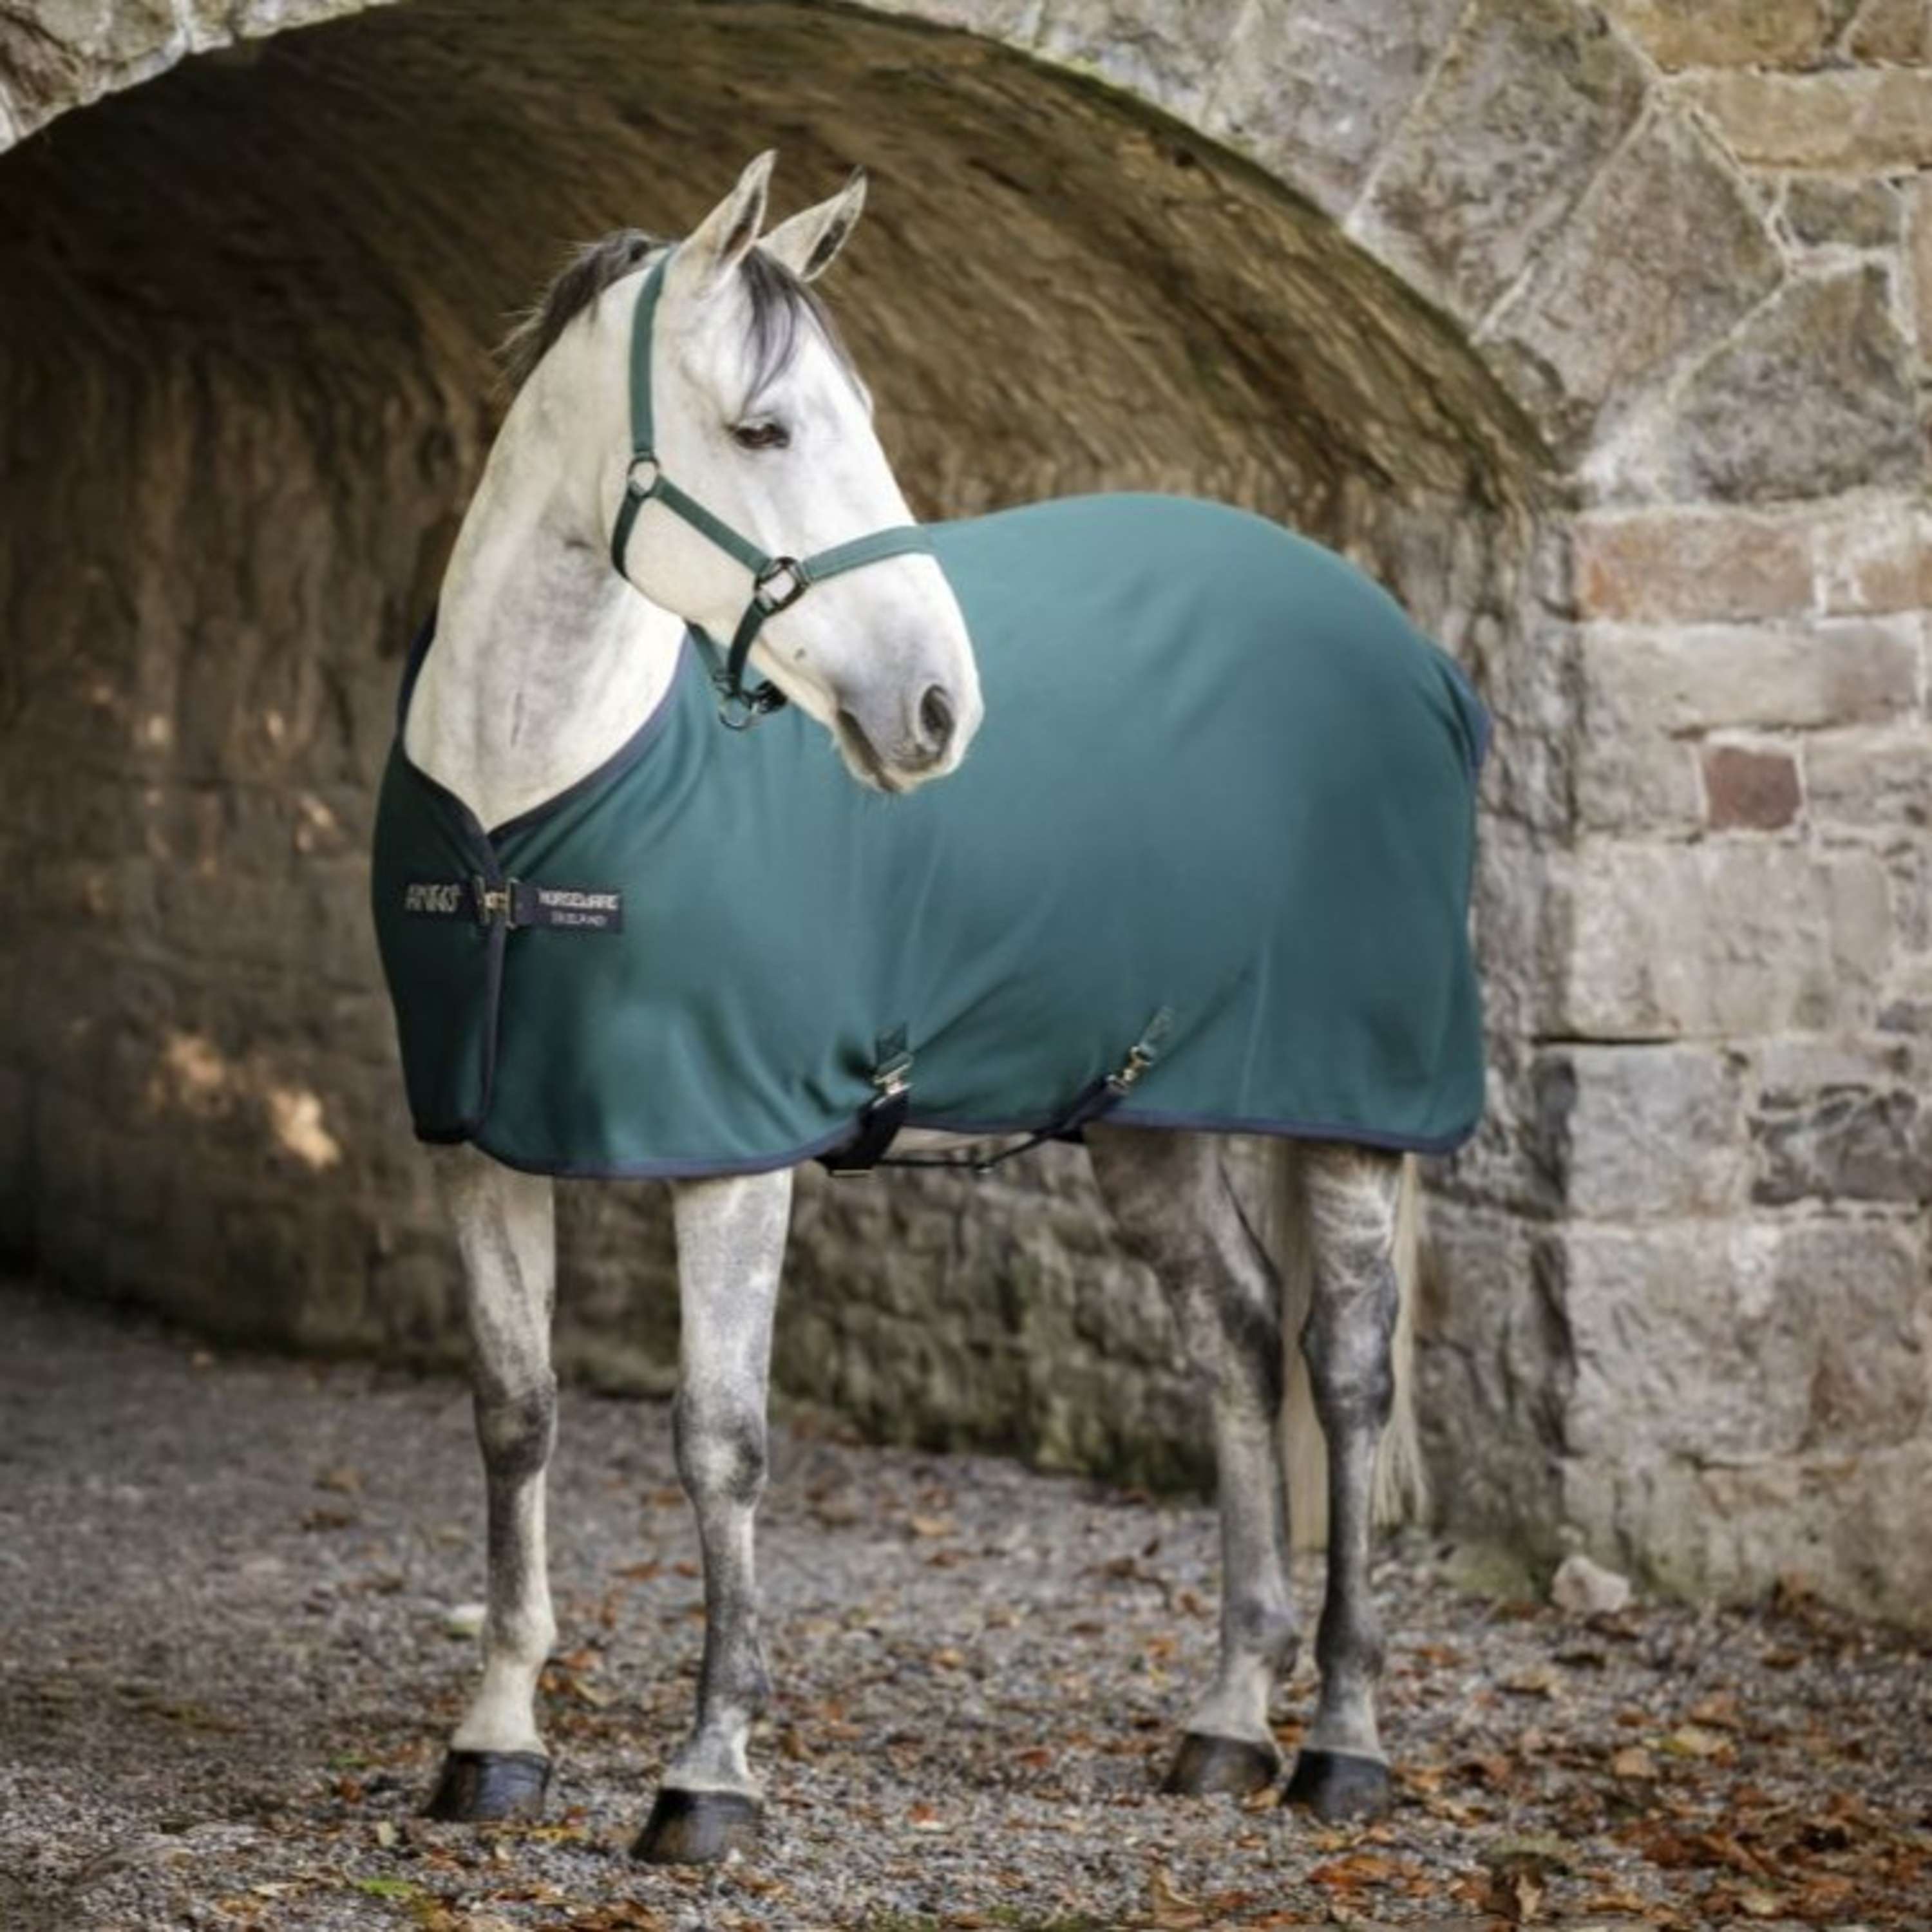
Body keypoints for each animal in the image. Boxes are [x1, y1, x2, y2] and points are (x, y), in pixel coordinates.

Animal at [375, 152, 1485, 1865]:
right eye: (765, 429)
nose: (939, 711)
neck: (531, 802)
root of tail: (1411, 654)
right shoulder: (478, 1145)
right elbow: (514, 1417)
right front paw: (494, 1741)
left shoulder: (733, 1157)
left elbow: (720, 1439)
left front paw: (710, 1771)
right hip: (1145, 1115)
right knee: (1236, 1339)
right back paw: (1227, 1720)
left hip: (1351, 1115)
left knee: (1346, 1373)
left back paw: (1344, 1746)